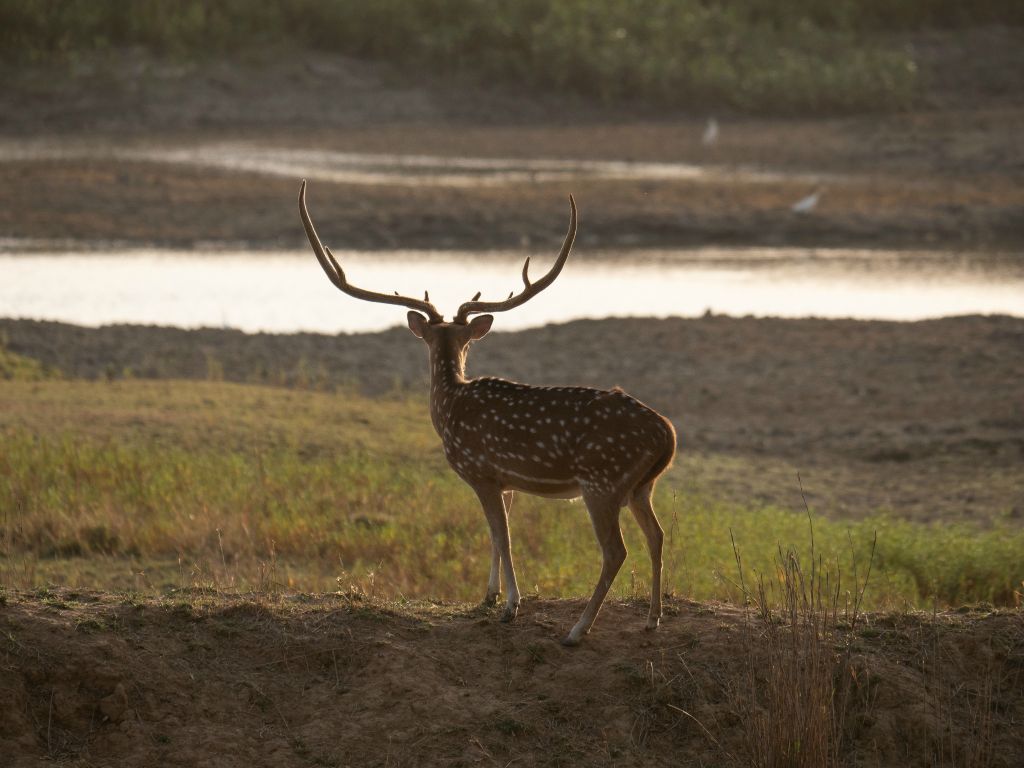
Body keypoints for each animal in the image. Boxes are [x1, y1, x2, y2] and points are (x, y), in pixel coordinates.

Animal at [299, 179, 675, 643]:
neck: (448, 408)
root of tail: (668, 434)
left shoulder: (480, 470)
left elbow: (503, 535)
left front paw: (512, 605)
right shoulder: (506, 480)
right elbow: (496, 536)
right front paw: (489, 595)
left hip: (601, 480)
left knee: (615, 550)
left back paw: (577, 629)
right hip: (641, 485)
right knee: (657, 535)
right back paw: (653, 617)